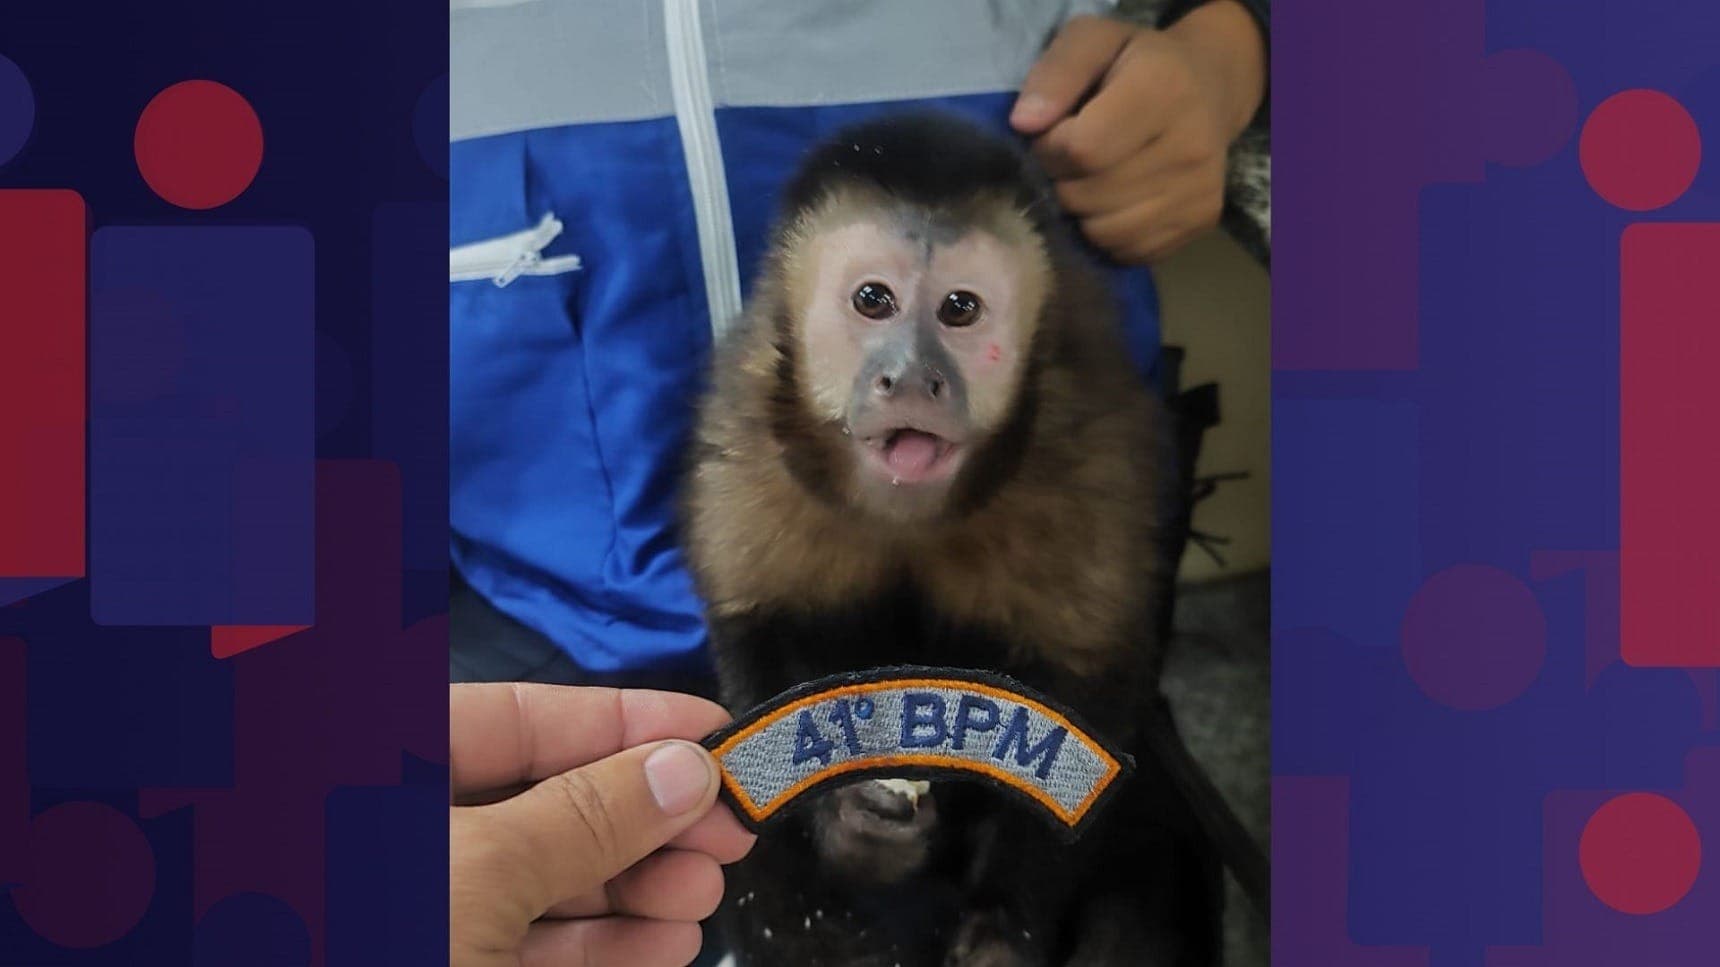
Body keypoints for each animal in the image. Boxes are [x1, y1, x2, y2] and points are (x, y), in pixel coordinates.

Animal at [682, 112, 1232, 967]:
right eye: (872, 299)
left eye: (960, 309)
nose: (912, 377)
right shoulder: (747, 433)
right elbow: (760, 653)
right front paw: (857, 826)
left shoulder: (1093, 450)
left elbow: (1084, 703)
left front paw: (1003, 929)